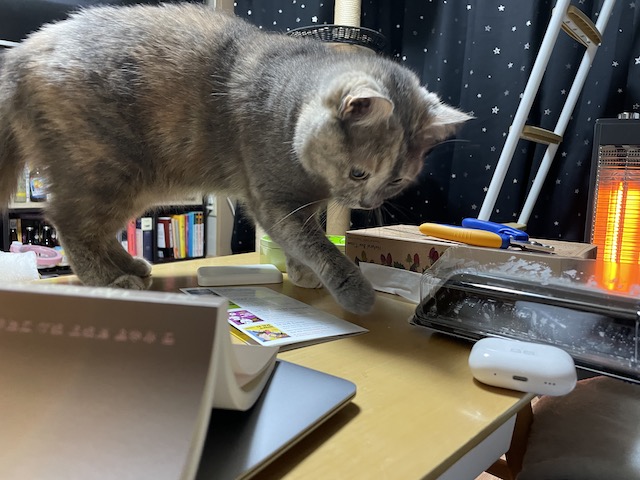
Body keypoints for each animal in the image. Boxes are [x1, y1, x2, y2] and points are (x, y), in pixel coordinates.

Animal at [0, 3, 470, 314]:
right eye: (360, 173)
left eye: (396, 181)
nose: (369, 203)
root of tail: (19, 53)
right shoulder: (274, 200)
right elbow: (317, 244)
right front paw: (351, 288)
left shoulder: (301, 204)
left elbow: (303, 242)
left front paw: (302, 273)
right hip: (107, 168)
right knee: (70, 223)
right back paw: (112, 280)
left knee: (92, 229)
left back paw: (130, 265)